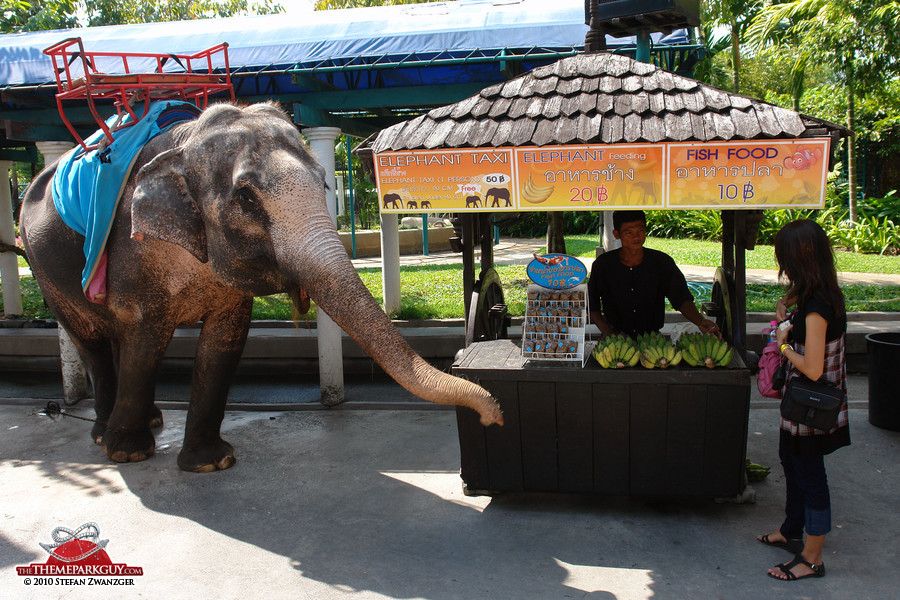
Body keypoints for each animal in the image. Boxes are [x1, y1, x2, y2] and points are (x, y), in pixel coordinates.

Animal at [21, 103, 502, 474]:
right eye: (247, 198)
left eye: (324, 182)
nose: (494, 415)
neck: (188, 139)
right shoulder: (133, 251)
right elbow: (144, 336)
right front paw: (129, 455)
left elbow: (224, 342)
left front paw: (211, 463)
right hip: (45, 268)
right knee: (90, 338)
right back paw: (106, 436)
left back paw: (150, 421)